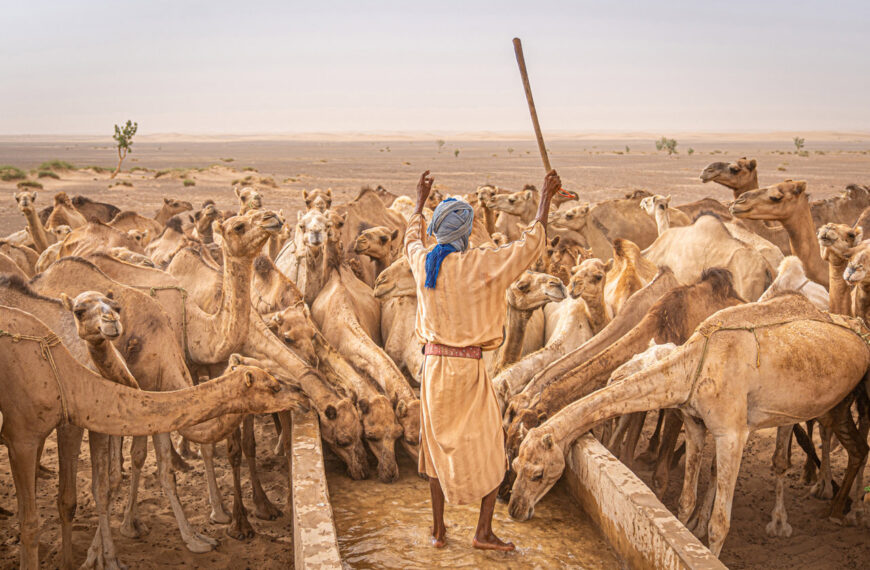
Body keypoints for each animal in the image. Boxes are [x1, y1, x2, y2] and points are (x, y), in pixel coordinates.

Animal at [0, 306, 306, 568]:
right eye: (274, 386)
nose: (302, 394)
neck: (64, 377)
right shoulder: (23, 437)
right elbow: (35, 521)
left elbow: (102, 486)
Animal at [510, 292, 870, 556]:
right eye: (514, 464)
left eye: (537, 473)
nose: (513, 508)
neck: (695, 364)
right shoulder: (696, 424)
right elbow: (683, 503)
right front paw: (688, 528)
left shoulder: (731, 433)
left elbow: (720, 522)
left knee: (855, 445)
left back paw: (843, 511)